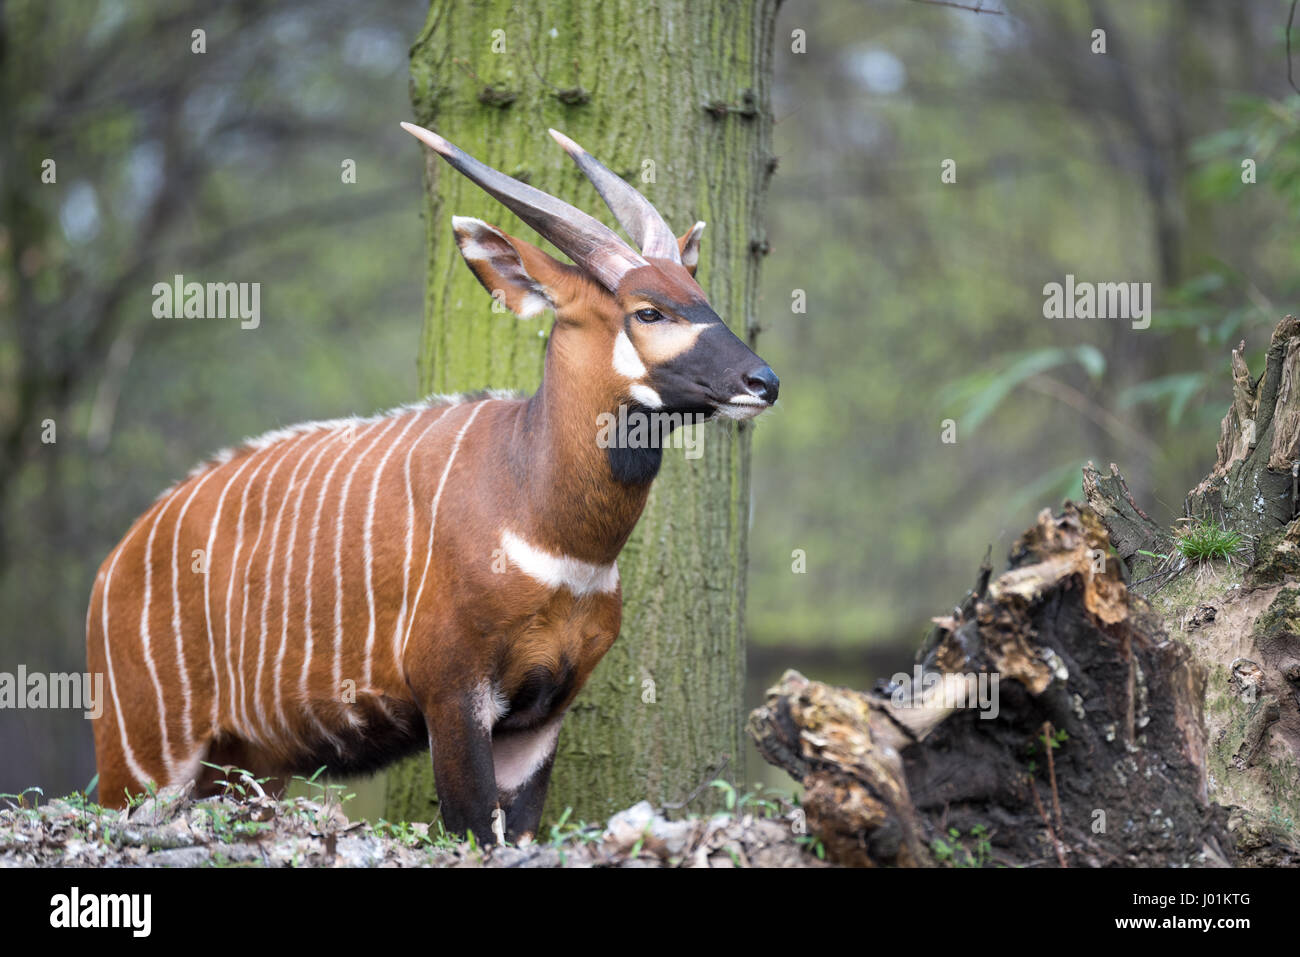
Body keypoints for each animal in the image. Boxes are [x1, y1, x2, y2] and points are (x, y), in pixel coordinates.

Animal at [91, 121, 780, 842]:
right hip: (144, 753)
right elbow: (473, 825)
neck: (553, 530)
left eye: (703, 298)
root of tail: (113, 562)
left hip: (248, 764)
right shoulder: (452, 692)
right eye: (648, 311)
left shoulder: (544, 711)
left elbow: (516, 831)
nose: (763, 382)